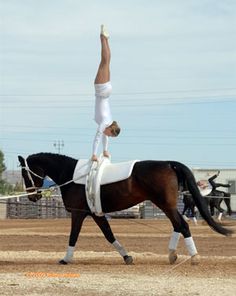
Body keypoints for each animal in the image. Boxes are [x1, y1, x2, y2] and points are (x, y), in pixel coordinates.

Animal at [18, 154, 232, 264]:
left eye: (25, 174)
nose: (32, 196)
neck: (72, 175)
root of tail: (169, 163)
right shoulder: (95, 214)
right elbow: (109, 234)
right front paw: (127, 256)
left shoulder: (78, 213)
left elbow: (73, 236)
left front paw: (65, 259)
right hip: (166, 205)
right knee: (178, 225)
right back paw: (172, 255)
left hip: (165, 204)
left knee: (183, 225)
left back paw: (194, 257)